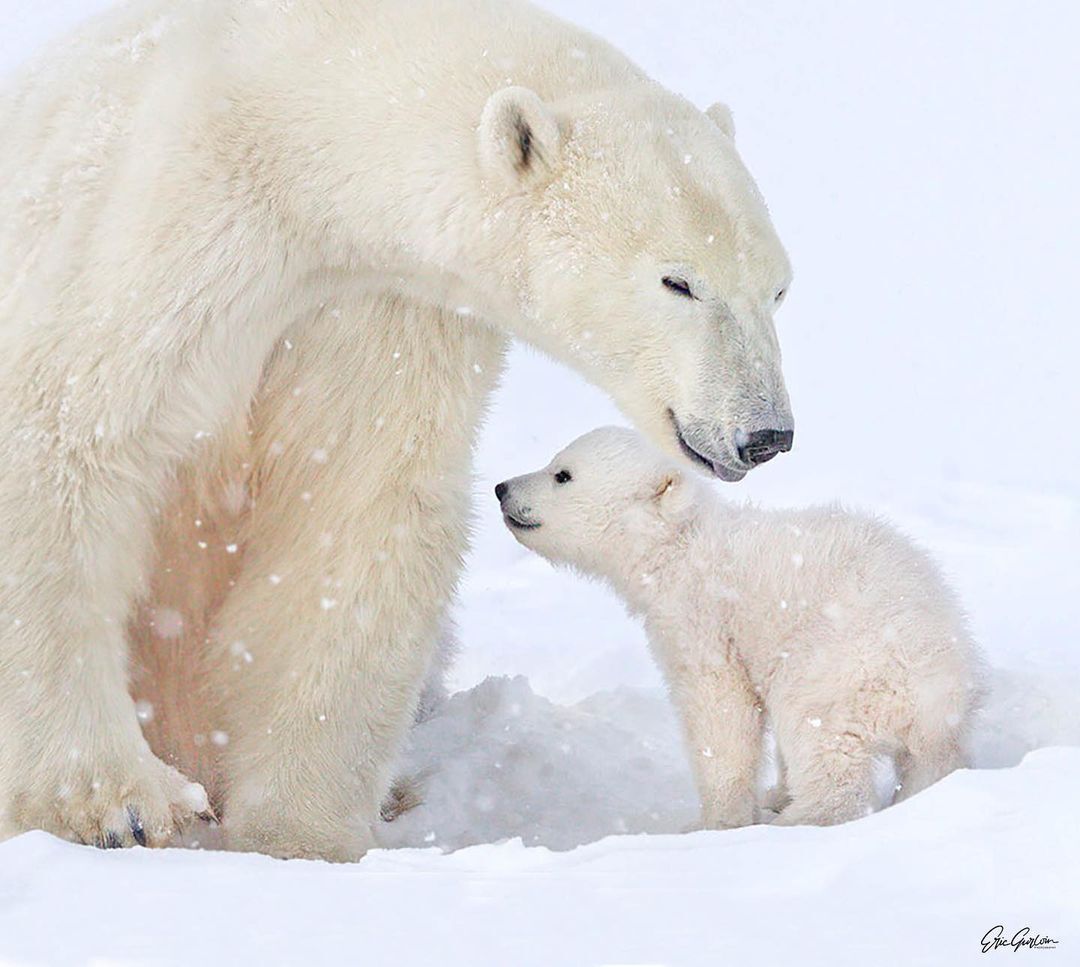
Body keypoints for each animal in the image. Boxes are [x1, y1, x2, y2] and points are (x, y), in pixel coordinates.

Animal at [0, 0, 794, 864]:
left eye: (779, 288)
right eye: (678, 281)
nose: (765, 431)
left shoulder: (383, 302)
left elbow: (356, 501)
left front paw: (298, 831)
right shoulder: (156, 225)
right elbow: (66, 437)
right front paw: (118, 804)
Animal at [496, 432, 989, 829]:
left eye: (562, 474)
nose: (502, 488)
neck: (682, 546)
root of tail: (936, 680)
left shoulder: (703, 619)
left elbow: (721, 713)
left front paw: (714, 822)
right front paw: (771, 794)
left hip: (843, 665)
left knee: (817, 732)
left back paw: (797, 820)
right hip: (928, 713)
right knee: (930, 761)